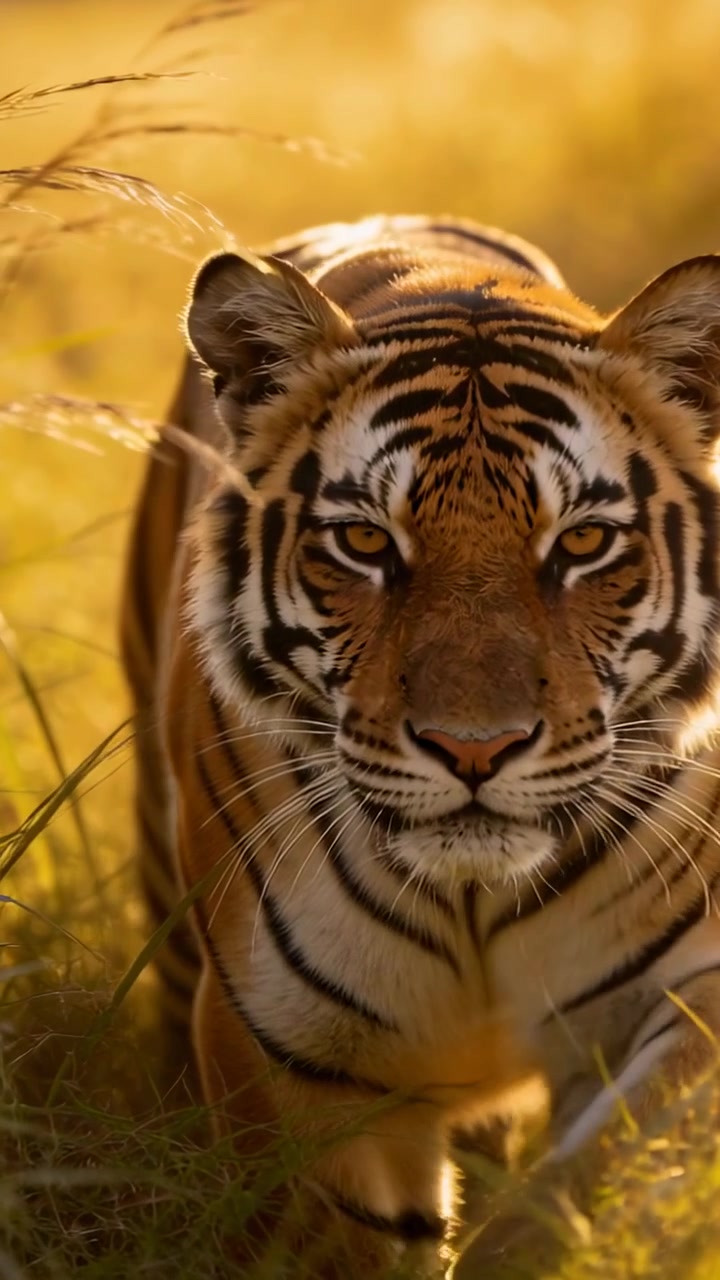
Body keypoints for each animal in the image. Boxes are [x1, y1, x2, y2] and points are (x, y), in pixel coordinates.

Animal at [121, 212, 720, 1275]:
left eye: (581, 544)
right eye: (365, 544)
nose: (474, 749)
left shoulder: (688, 990)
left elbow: (588, 1175)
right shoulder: (291, 1053)